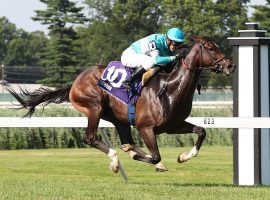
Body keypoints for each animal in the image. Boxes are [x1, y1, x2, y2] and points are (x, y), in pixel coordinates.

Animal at [7, 36, 235, 173]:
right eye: (210, 47)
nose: (230, 65)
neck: (170, 89)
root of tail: (75, 82)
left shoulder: (173, 125)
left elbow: (202, 131)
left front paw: (184, 156)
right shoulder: (146, 128)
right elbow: (154, 156)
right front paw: (152, 160)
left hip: (119, 119)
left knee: (125, 140)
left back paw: (128, 151)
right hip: (94, 107)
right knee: (90, 138)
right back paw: (116, 161)